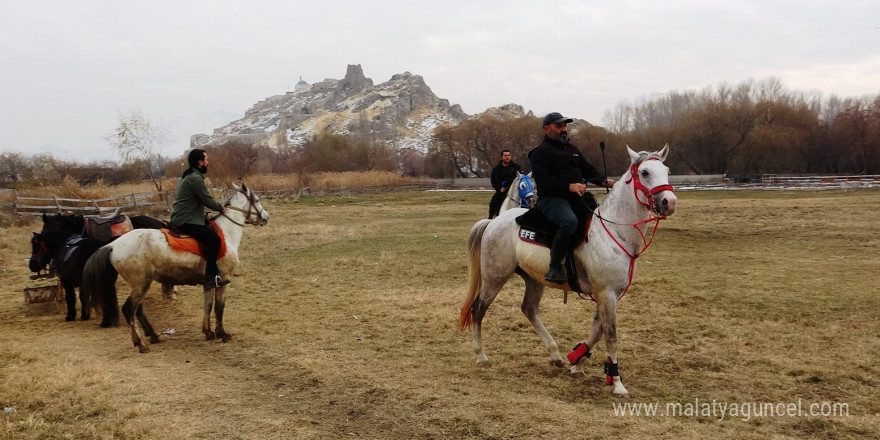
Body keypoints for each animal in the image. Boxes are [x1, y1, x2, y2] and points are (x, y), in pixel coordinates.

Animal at [83, 184, 270, 352]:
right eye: (257, 200)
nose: (266, 217)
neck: (225, 234)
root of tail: (113, 245)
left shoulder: (208, 282)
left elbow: (208, 305)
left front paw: (208, 332)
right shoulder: (223, 279)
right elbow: (219, 307)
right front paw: (222, 334)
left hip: (140, 285)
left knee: (138, 310)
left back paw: (150, 336)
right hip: (140, 284)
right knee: (129, 309)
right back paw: (141, 344)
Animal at [458, 145, 676, 396]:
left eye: (666, 171)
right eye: (645, 172)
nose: (669, 202)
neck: (614, 231)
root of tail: (493, 222)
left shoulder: (609, 295)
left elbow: (597, 330)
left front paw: (577, 360)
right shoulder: (607, 293)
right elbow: (610, 335)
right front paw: (617, 381)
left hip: (533, 279)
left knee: (529, 310)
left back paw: (555, 355)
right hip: (495, 277)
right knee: (478, 309)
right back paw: (480, 354)